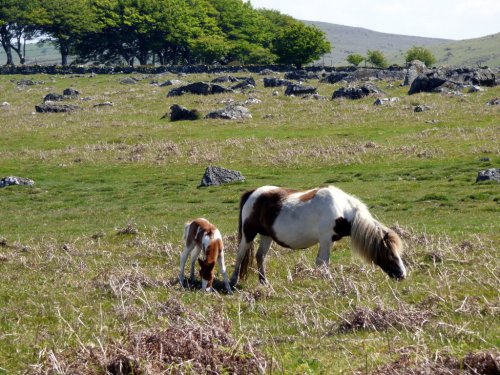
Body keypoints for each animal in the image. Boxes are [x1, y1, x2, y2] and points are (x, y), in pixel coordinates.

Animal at [230, 186, 406, 288]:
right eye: (390, 253)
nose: (403, 274)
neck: (342, 209)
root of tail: (252, 193)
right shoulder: (325, 239)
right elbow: (324, 262)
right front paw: (328, 280)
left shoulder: (329, 240)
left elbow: (321, 262)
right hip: (248, 233)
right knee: (240, 255)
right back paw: (232, 282)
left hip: (266, 236)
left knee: (260, 256)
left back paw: (264, 281)